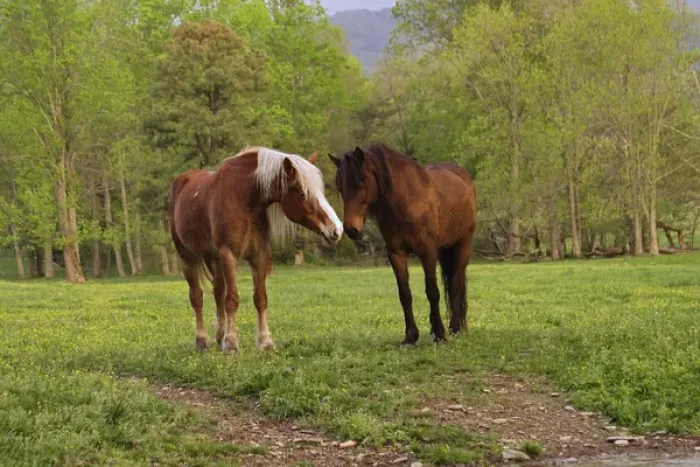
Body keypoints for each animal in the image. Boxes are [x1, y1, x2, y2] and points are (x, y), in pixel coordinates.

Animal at [168, 146, 343, 353]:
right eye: (302, 192)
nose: (337, 230)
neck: (243, 198)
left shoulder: (259, 255)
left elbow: (260, 298)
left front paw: (266, 342)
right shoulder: (229, 254)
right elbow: (232, 299)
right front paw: (232, 344)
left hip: (214, 258)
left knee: (218, 293)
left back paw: (220, 336)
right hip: (188, 258)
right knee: (197, 297)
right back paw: (202, 340)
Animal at [329, 144, 476, 347]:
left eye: (361, 183)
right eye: (340, 186)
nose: (352, 229)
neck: (406, 202)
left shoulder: (427, 252)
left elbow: (432, 291)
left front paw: (439, 334)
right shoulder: (396, 253)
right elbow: (404, 294)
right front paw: (410, 337)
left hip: (463, 245)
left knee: (456, 283)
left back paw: (454, 328)